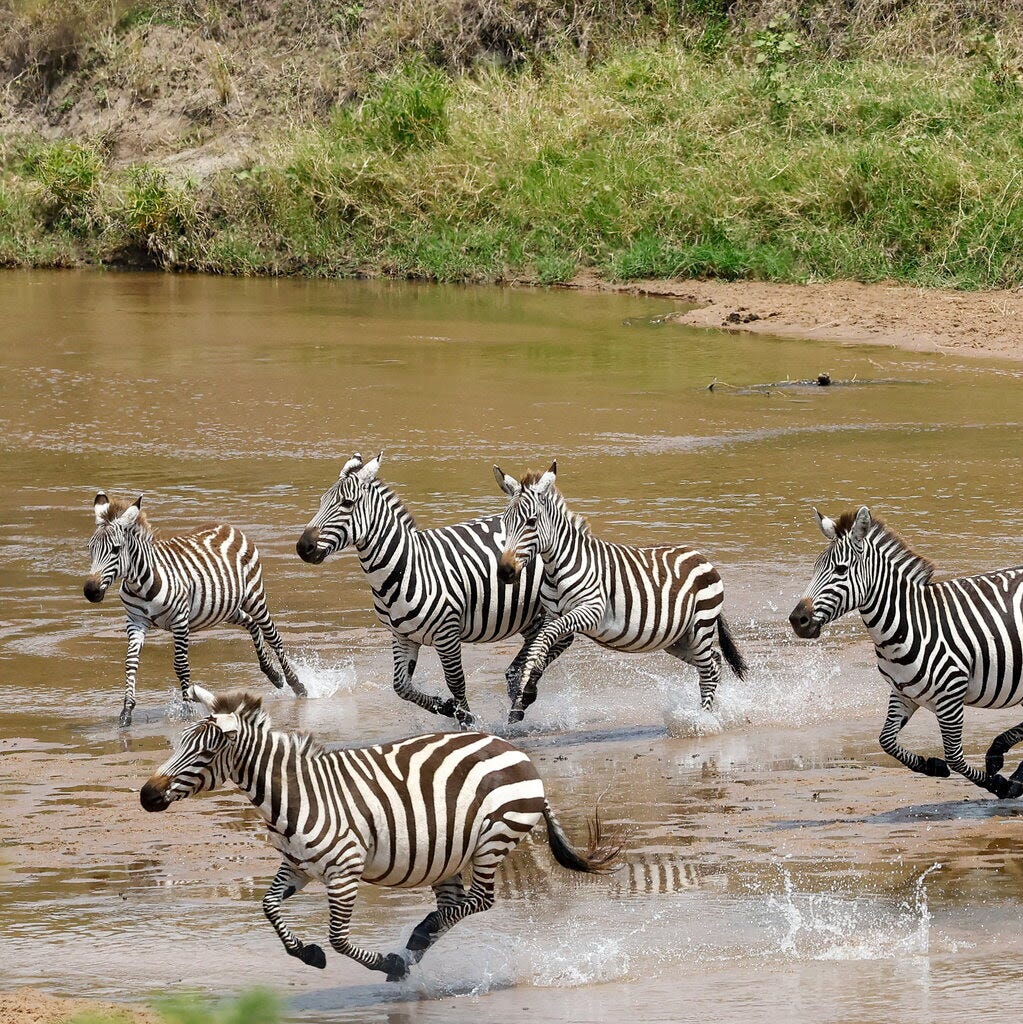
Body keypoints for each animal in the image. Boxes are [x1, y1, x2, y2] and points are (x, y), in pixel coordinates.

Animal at [84, 492, 306, 727]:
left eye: (116, 549)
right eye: (90, 548)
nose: (90, 591)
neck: (141, 584)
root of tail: (227, 525)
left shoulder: (180, 621)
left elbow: (181, 665)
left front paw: (187, 709)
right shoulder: (135, 621)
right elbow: (130, 662)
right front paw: (126, 711)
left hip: (254, 596)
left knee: (273, 636)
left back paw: (296, 684)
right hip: (225, 607)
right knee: (251, 624)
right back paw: (273, 675)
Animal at [140, 685, 619, 981]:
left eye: (203, 754)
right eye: (178, 743)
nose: (146, 795)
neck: (296, 796)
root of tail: (515, 751)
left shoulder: (344, 870)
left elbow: (338, 938)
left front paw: (377, 961)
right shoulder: (297, 866)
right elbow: (269, 908)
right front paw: (307, 954)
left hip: (492, 839)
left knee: (480, 901)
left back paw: (412, 944)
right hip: (448, 854)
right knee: (454, 907)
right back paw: (415, 947)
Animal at [295, 452, 573, 729]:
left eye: (347, 503)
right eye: (321, 502)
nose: (303, 547)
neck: (406, 567)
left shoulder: (447, 634)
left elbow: (456, 682)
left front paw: (467, 722)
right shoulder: (401, 636)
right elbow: (401, 686)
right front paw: (446, 707)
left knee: (560, 639)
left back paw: (523, 692)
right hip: (529, 613)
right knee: (535, 645)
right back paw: (516, 686)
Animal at [494, 462, 748, 722]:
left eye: (531, 522)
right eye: (505, 522)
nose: (505, 571)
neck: (557, 568)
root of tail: (701, 557)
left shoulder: (591, 611)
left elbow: (542, 641)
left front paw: (524, 690)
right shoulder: (555, 617)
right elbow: (540, 645)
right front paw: (523, 695)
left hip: (700, 625)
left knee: (708, 670)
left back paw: (702, 719)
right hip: (678, 638)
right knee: (714, 661)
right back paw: (710, 711)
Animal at [789, 505, 1023, 800]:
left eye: (841, 570)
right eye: (815, 568)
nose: (797, 620)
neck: (907, 625)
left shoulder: (950, 695)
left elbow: (954, 756)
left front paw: (998, 784)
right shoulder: (903, 692)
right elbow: (886, 740)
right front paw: (932, 766)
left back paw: (1000, 760)